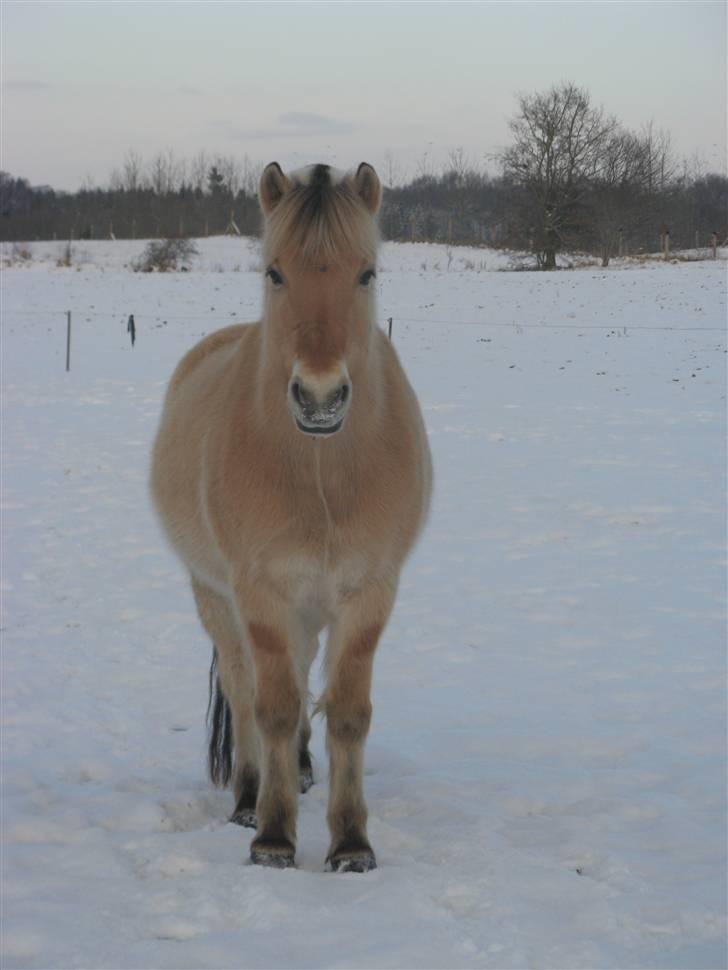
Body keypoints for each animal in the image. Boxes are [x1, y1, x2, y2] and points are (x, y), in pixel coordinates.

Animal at [150, 161, 430, 868]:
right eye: (274, 273)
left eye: (367, 273)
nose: (320, 398)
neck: (321, 475)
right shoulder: (261, 593)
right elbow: (270, 707)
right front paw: (274, 835)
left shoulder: (369, 592)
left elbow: (348, 712)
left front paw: (351, 842)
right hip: (218, 601)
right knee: (245, 690)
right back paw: (251, 797)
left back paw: (302, 770)